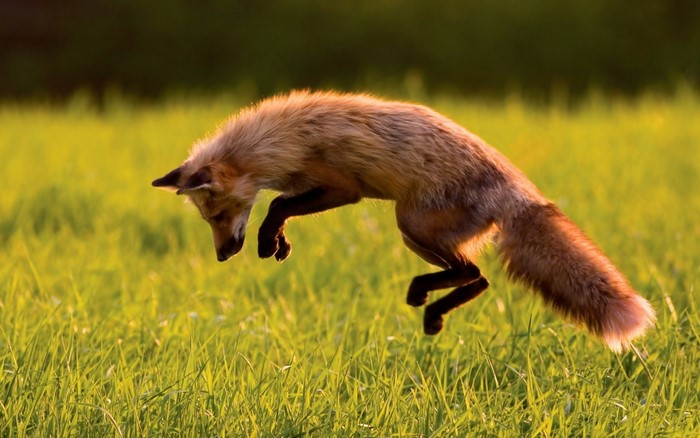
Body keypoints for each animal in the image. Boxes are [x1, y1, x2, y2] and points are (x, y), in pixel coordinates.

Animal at [152, 90, 655, 352]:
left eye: (218, 215)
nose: (223, 255)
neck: (278, 141)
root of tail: (519, 191)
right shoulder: (316, 188)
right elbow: (279, 206)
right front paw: (278, 244)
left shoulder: (342, 187)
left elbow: (276, 205)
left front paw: (268, 239)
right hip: (416, 233)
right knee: (479, 278)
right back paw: (431, 310)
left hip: (409, 222)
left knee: (474, 274)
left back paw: (426, 302)